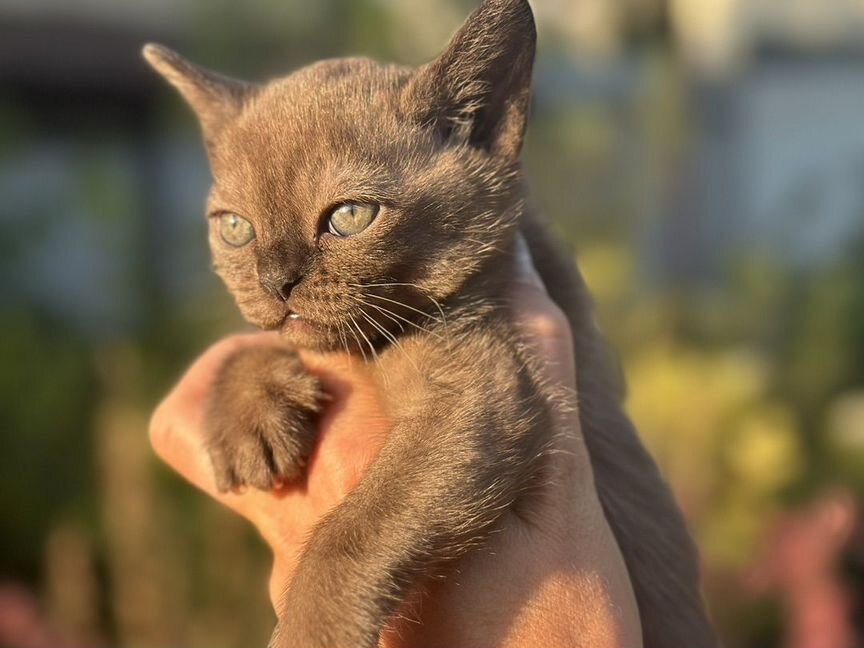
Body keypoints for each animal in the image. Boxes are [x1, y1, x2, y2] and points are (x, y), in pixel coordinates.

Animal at [147, 1, 716, 648]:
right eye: (235, 229)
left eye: (350, 216)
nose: (276, 282)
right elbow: (242, 347)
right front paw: (249, 418)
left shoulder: (481, 395)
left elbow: (349, 534)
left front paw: (309, 633)